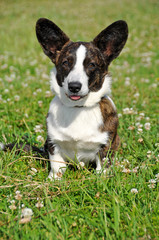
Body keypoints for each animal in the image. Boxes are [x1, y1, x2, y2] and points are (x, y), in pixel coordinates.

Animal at [35, 17, 129, 179]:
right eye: (65, 63)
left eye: (91, 65)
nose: (74, 86)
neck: (78, 108)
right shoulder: (53, 144)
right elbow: (56, 166)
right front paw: (53, 180)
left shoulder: (104, 147)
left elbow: (102, 167)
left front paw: (101, 179)